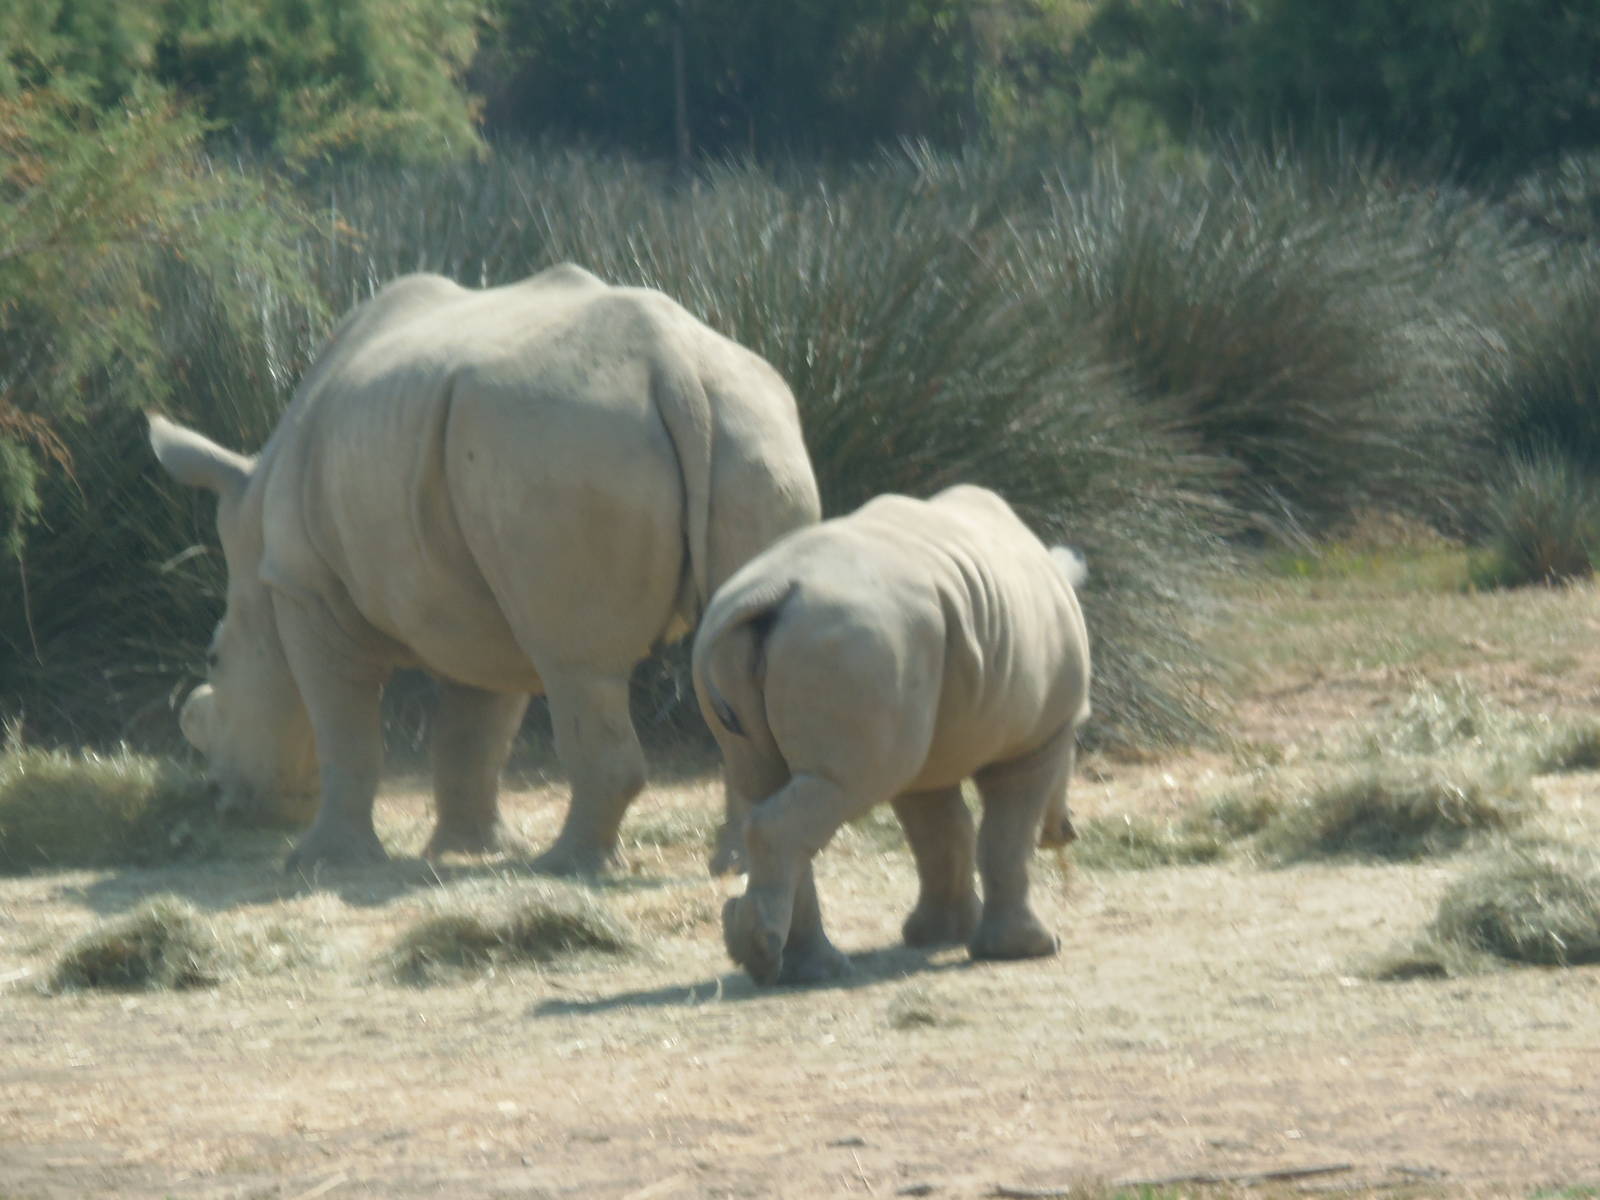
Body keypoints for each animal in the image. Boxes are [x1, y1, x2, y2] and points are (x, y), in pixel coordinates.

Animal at [150, 264, 820, 873]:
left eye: (214, 658)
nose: (223, 798)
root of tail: (676, 367)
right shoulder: (473, 604)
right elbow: (474, 732)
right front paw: (469, 850)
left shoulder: (304, 588)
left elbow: (346, 729)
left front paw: (320, 863)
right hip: (747, 432)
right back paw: (737, 863)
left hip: (562, 443)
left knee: (576, 664)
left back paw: (565, 868)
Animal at [693, 485, 1090, 985]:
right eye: (1081, 736)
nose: (1068, 831)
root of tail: (773, 591)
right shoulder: (1038, 740)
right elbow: (1007, 835)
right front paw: (1028, 949)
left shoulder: (926, 743)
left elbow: (941, 833)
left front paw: (939, 935)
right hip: (858, 639)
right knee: (840, 787)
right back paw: (770, 960)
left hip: (832, 646)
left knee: (775, 786)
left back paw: (804, 968)